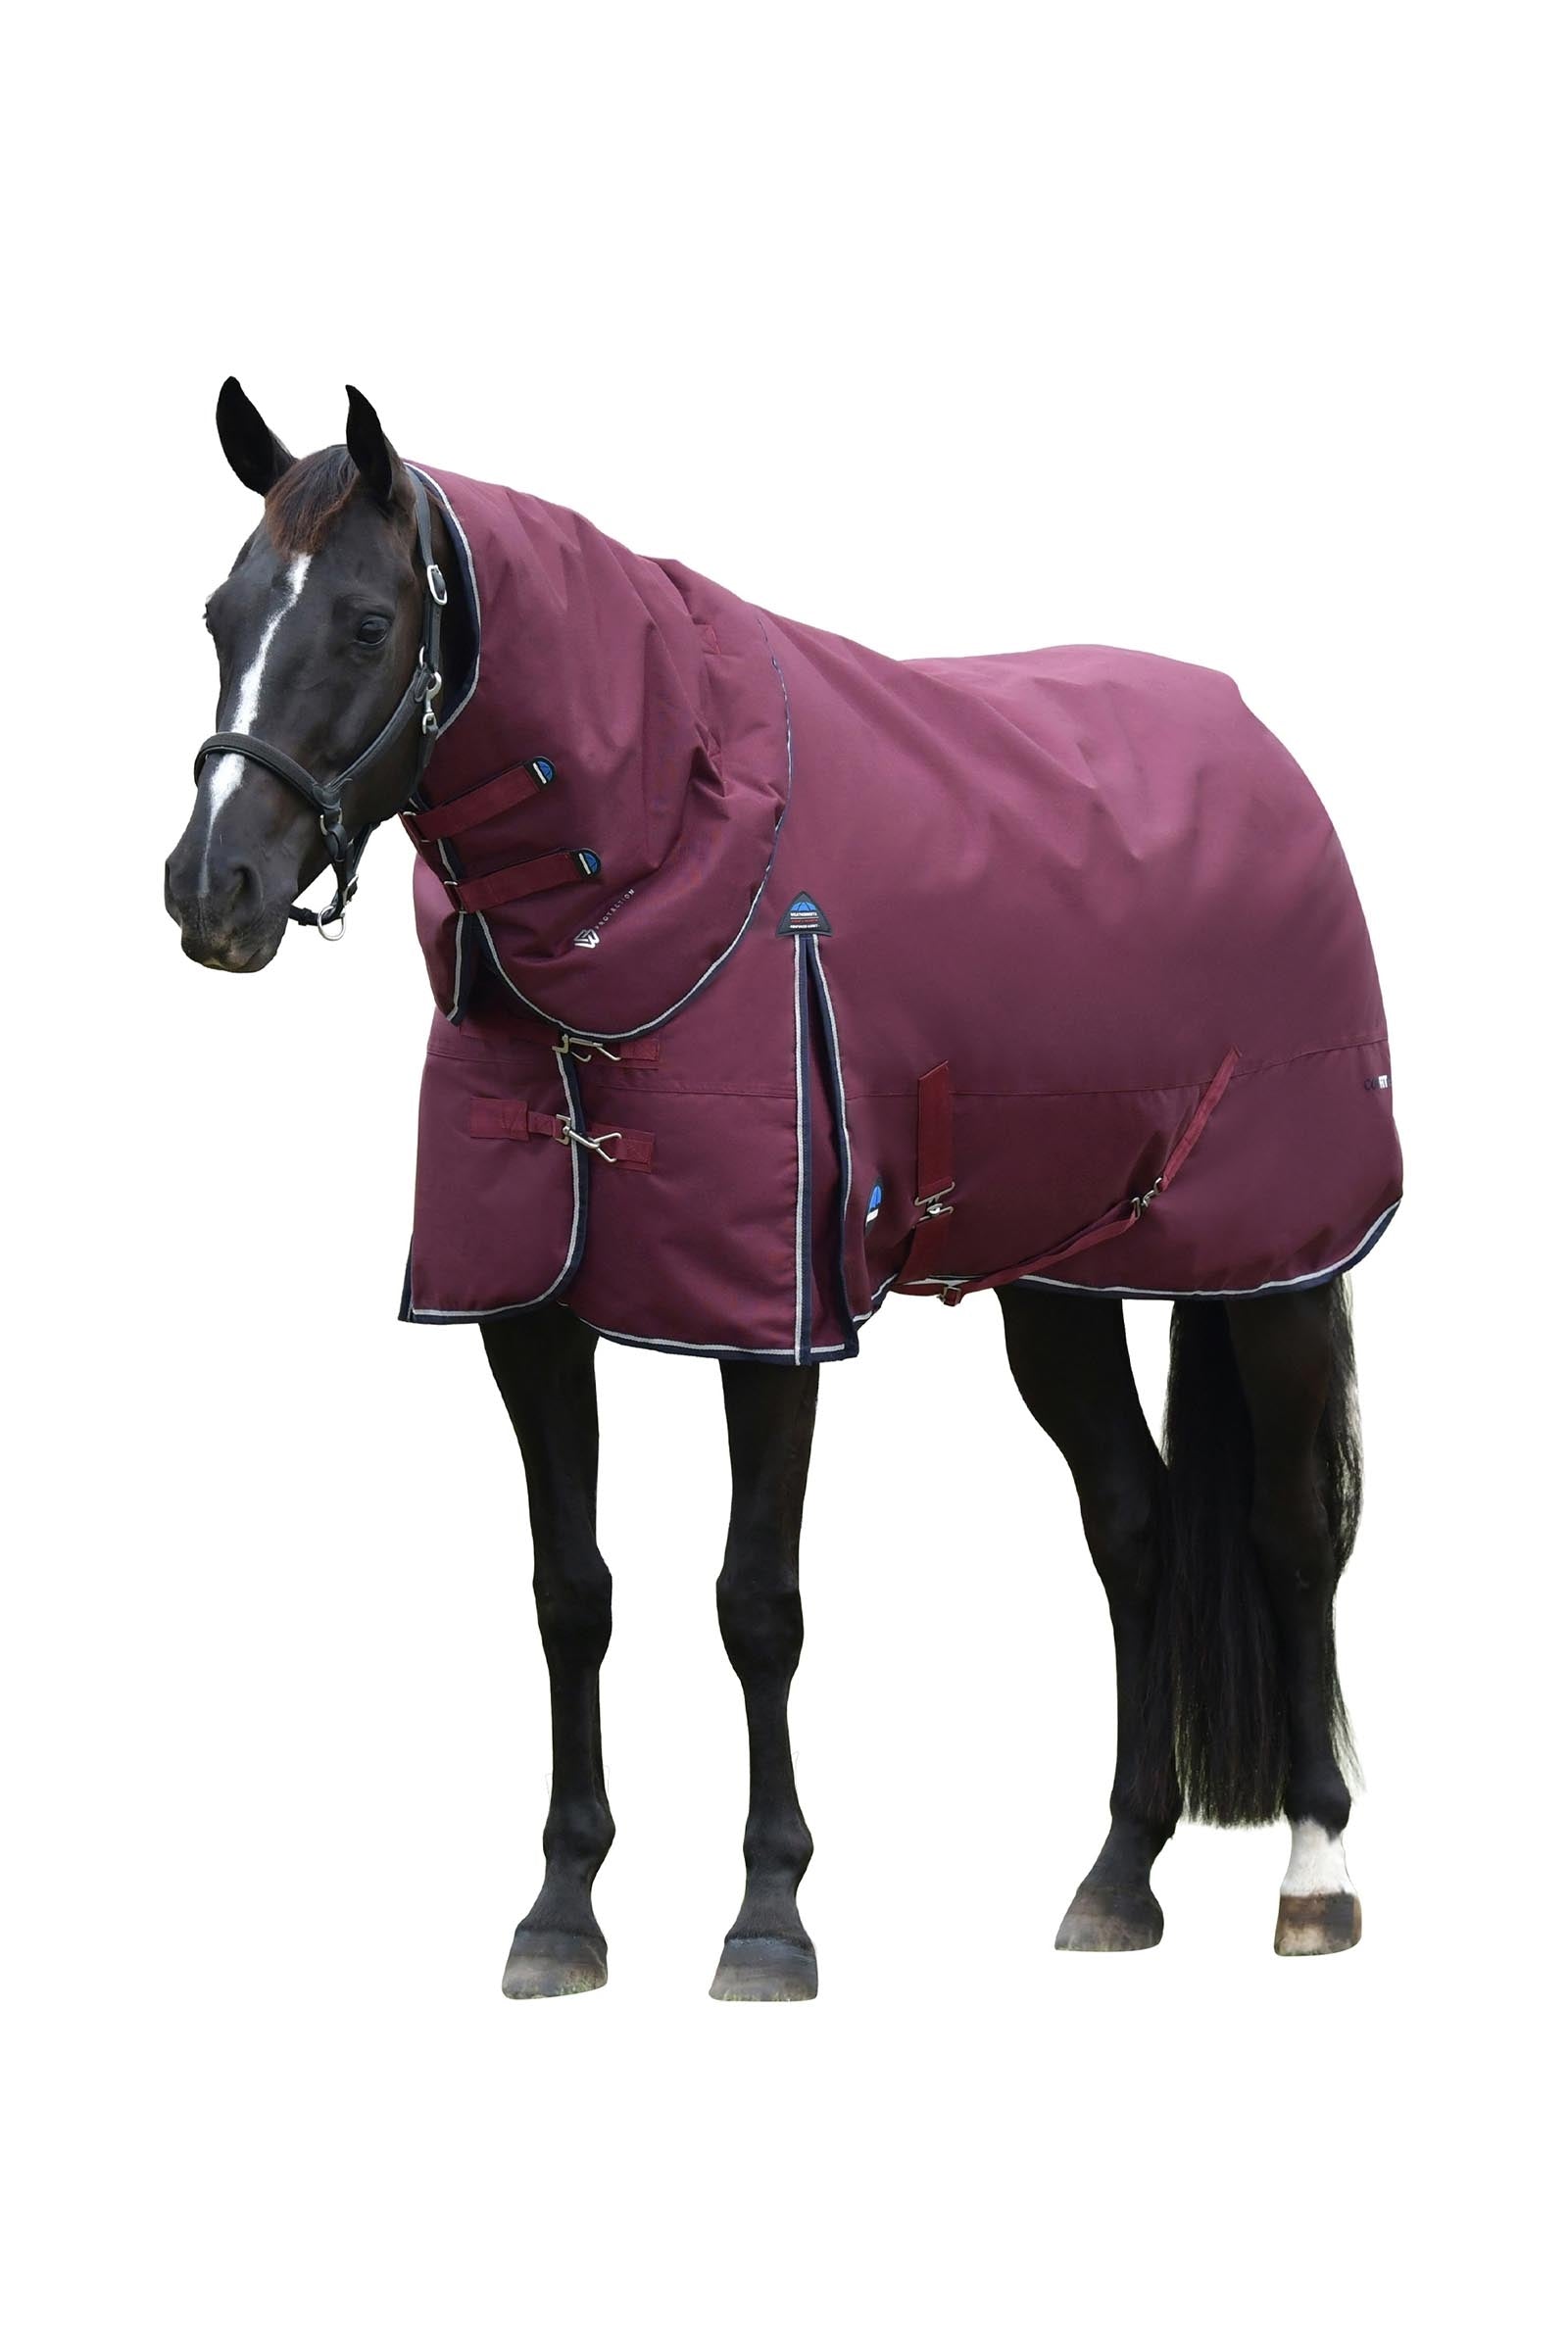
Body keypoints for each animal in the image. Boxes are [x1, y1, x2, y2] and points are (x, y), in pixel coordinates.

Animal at [165, 381, 1398, 1998]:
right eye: (221, 612)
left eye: (369, 622)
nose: (211, 891)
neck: (664, 866)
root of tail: (1262, 756)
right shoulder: (528, 1316)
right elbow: (571, 1593)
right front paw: (562, 1911)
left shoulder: (773, 1314)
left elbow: (758, 1602)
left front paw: (768, 1916)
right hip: (1062, 1281)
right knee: (1131, 1523)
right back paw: (1118, 1878)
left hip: (1277, 1269)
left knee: (1290, 1532)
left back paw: (1316, 1876)